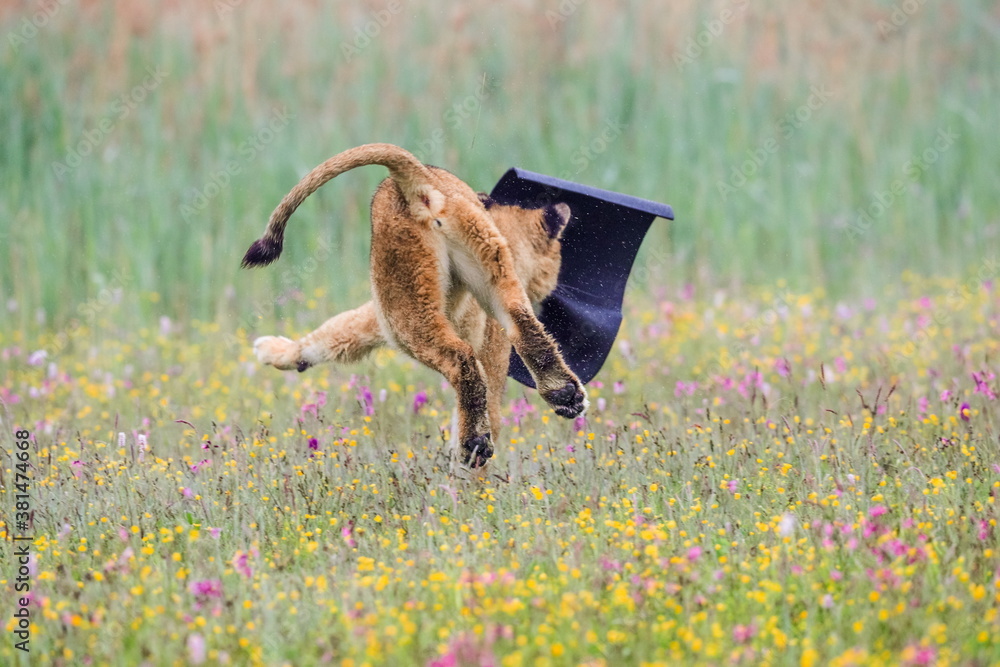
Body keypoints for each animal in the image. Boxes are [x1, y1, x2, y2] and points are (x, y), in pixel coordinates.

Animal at [242, 143, 587, 467]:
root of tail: (417, 178)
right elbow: (330, 336)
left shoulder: (382, 315)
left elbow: (335, 334)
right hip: (484, 274)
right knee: (521, 327)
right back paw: (564, 394)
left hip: (402, 312)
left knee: (460, 359)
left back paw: (474, 444)